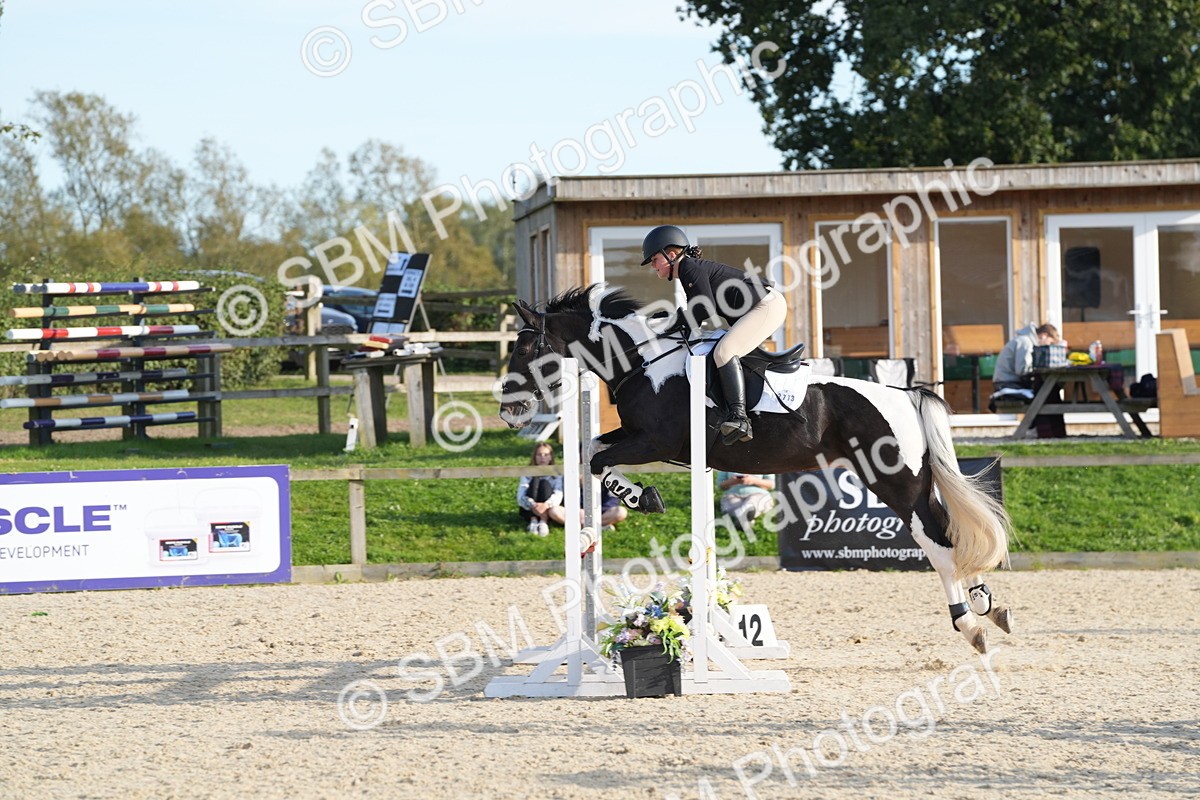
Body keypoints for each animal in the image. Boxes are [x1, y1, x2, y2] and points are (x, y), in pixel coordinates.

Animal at [498, 284, 1013, 654]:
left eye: (523, 351)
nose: (509, 412)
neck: (642, 362)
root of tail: (905, 394)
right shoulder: (639, 438)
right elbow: (593, 450)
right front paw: (639, 498)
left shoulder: (654, 442)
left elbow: (599, 458)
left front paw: (639, 497)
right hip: (911, 482)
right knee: (948, 529)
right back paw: (989, 604)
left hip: (895, 482)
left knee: (938, 544)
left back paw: (970, 625)